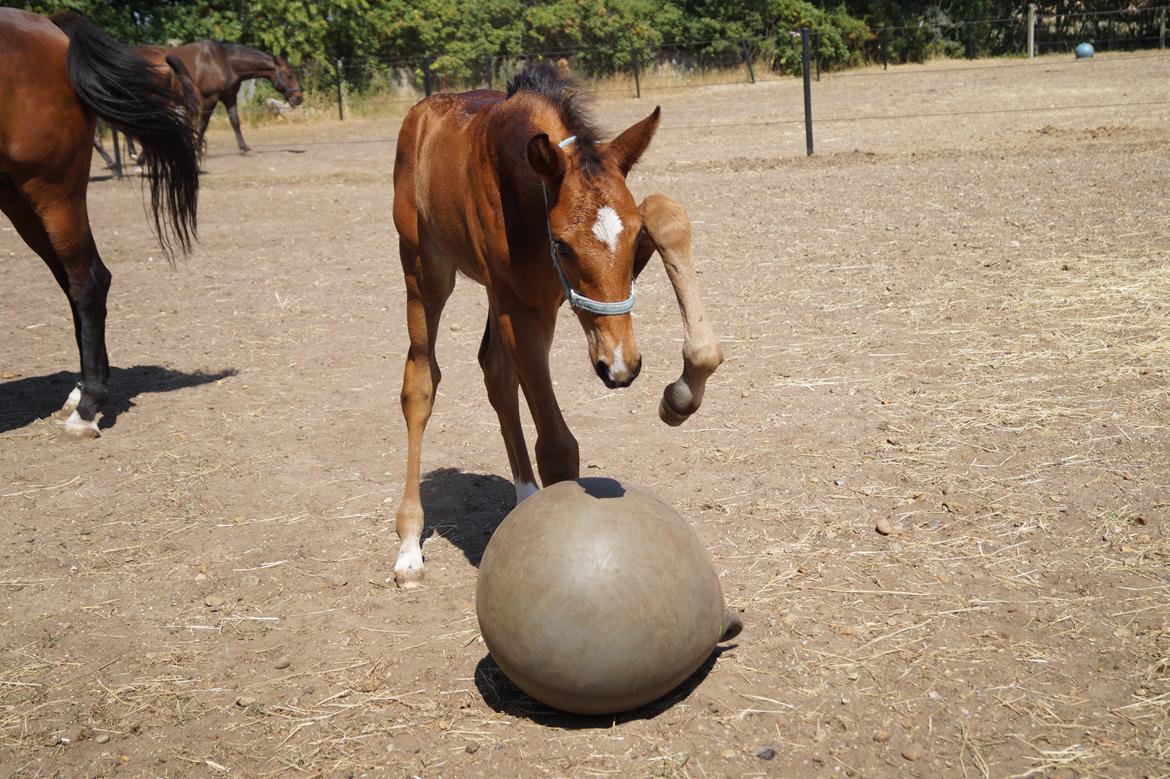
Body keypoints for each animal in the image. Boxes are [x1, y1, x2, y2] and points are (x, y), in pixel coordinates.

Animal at [0, 7, 198, 437]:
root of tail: (49, 27)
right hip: (20, 199)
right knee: (77, 281)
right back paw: (81, 391)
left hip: (51, 190)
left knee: (87, 282)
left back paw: (87, 407)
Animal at [133, 40, 304, 152]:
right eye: (289, 75)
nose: (299, 98)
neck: (223, 61)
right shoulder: (210, 99)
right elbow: (203, 125)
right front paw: (197, 148)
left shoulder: (229, 97)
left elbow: (235, 122)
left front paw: (244, 147)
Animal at [393, 63, 720, 584]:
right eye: (563, 245)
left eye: (632, 240)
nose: (620, 367)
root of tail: (424, 110)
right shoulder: (523, 310)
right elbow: (557, 446)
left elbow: (664, 212)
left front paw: (680, 396)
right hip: (425, 272)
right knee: (421, 381)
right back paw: (408, 547)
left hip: (491, 293)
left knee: (495, 373)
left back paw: (524, 500)